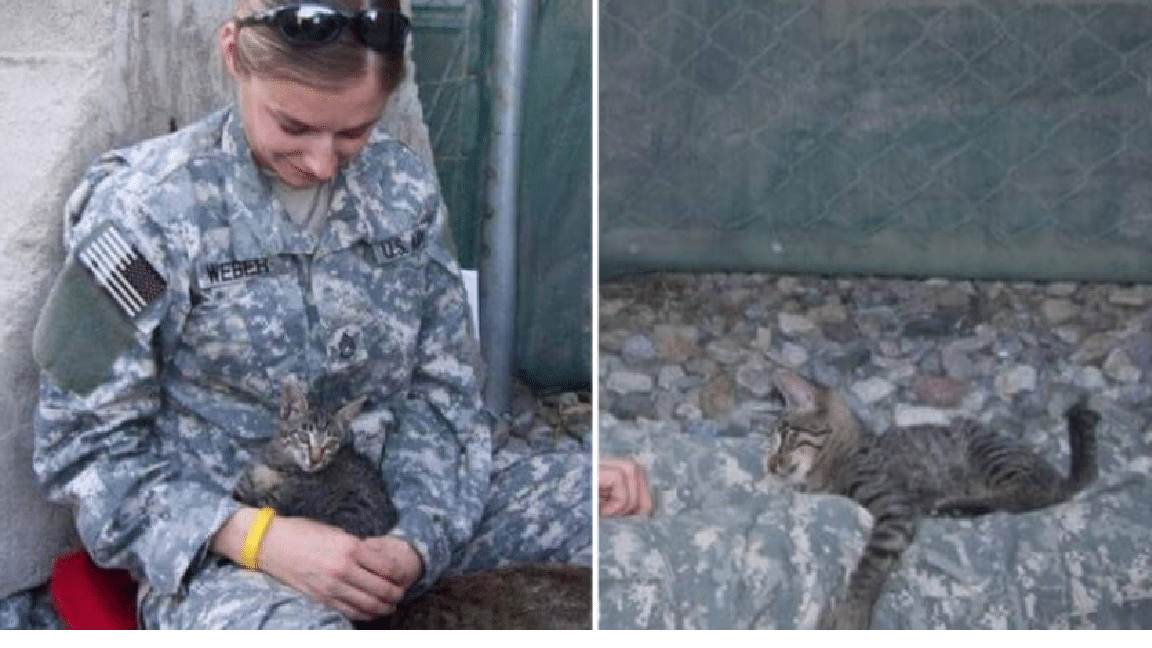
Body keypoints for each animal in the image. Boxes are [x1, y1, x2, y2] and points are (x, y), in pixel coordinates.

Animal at [233, 378, 594, 627]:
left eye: (332, 440)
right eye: (304, 434)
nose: (317, 455)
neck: (283, 466)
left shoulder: (287, 500)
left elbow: (255, 496)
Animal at [764, 368, 1096, 627]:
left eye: (785, 436)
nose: (770, 464)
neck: (842, 455)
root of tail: (1057, 475)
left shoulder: (895, 508)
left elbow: (869, 566)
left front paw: (851, 615)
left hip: (987, 450)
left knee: (1029, 496)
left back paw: (957, 506)